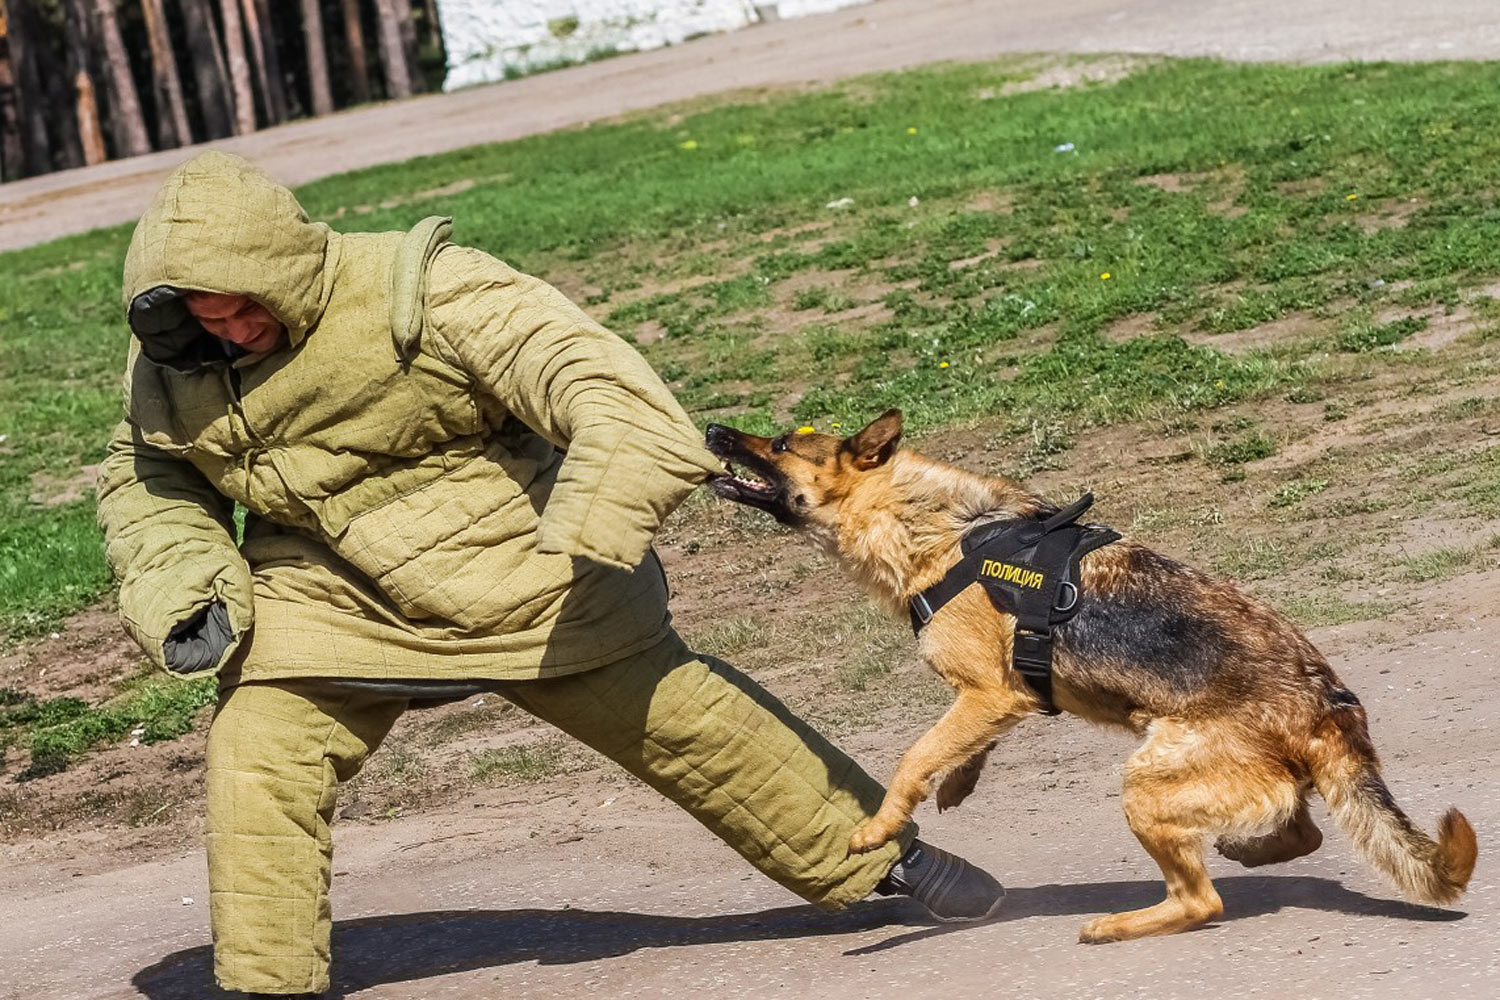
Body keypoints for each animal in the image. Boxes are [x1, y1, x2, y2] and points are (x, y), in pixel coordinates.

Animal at [702, 410, 1476, 941]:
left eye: (779, 444)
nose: (711, 427)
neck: (932, 526)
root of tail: (1329, 708)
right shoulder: (992, 699)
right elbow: (955, 750)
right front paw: (959, 781)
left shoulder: (987, 692)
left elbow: (913, 757)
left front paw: (881, 825)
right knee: (1296, 834)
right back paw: (1242, 849)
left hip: (1143, 787)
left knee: (1204, 900)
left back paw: (1119, 923)